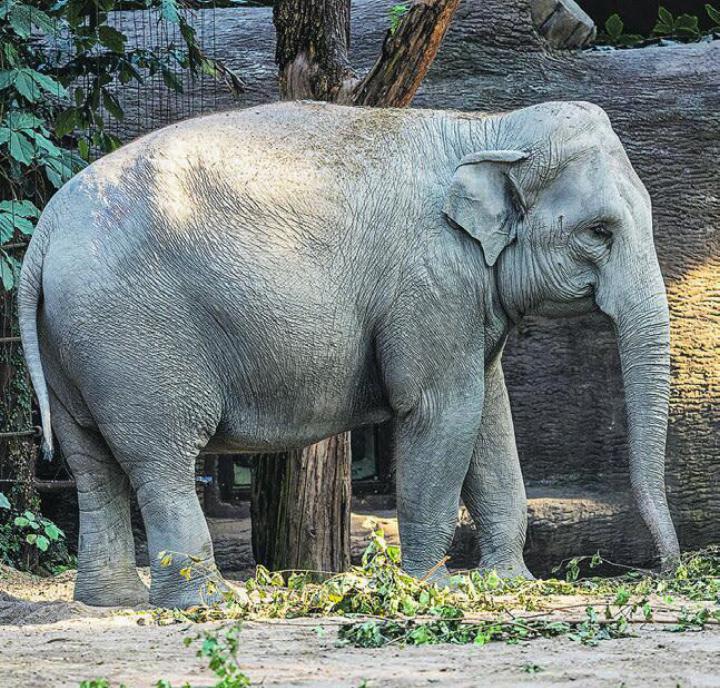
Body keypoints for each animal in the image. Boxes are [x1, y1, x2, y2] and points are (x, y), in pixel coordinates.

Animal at [16, 98, 680, 608]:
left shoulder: (463, 294)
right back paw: (210, 602)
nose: (667, 571)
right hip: (133, 336)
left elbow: (491, 415)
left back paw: (111, 601)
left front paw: (512, 586)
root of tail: (44, 232)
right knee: (161, 457)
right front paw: (434, 589)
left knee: (91, 461)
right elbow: (443, 411)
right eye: (599, 232)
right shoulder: (430, 281)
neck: (488, 127)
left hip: (75, 339)